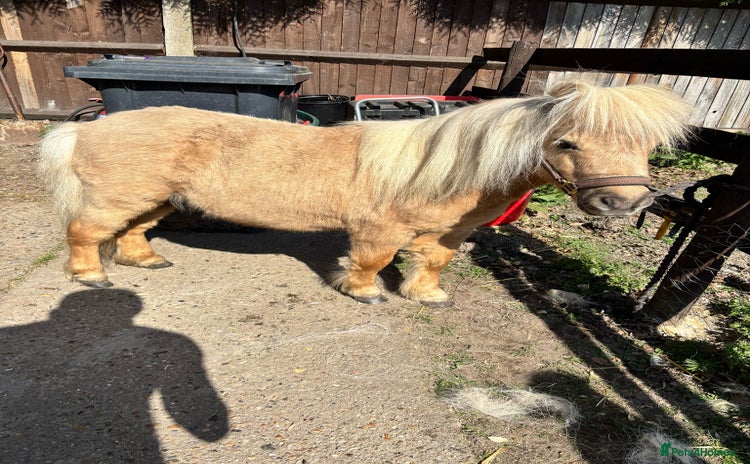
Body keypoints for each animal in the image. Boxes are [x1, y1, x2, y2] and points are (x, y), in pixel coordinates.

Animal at [38, 80, 692, 307]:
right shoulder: (380, 228)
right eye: (567, 142)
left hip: (152, 199)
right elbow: (373, 261)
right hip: (117, 199)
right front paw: (365, 293)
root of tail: (86, 126)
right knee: (85, 234)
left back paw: (146, 261)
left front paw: (426, 297)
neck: (444, 167)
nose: (624, 204)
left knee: (132, 233)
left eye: (648, 144)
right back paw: (91, 278)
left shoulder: (447, 233)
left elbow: (433, 265)